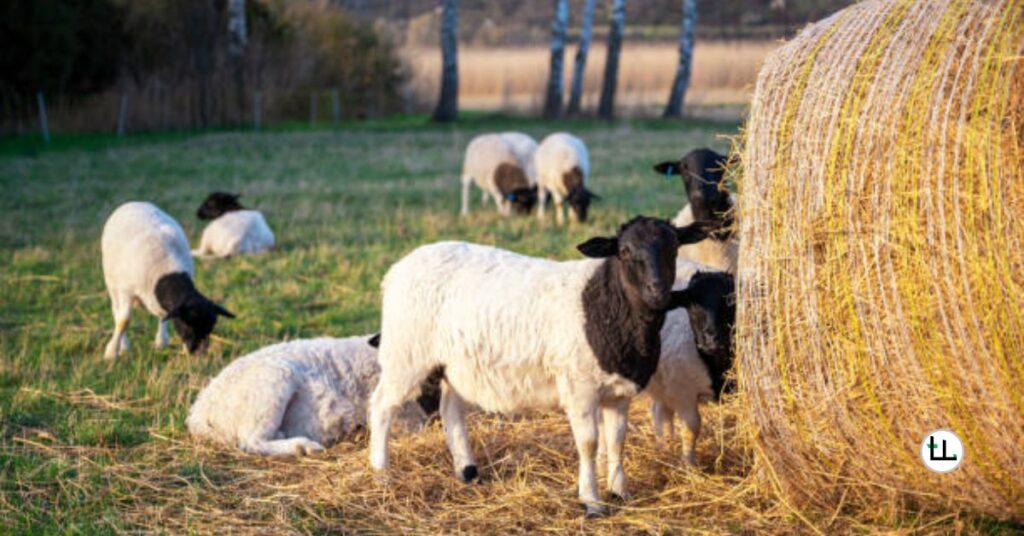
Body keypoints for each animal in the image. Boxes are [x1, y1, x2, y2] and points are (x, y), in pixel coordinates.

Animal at [101, 201, 234, 359]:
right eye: (187, 325)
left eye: (210, 328)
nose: (197, 354)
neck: (166, 271)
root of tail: (133, 203)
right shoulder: (125, 290)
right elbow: (123, 321)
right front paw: (111, 353)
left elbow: (164, 315)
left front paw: (162, 342)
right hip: (112, 282)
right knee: (116, 310)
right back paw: (124, 345)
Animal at [367, 216, 714, 518]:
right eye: (625, 251)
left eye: (674, 247)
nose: (658, 291)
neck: (605, 305)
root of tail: (397, 269)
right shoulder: (579, 389)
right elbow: (589, 444)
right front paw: (592, 502)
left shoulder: (618, 392)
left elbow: (617, 440)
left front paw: (620, 491)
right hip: (406, 352)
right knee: (381, 405)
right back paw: (381, 473)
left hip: (455, 363)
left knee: (450, 407)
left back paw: (467, 471)